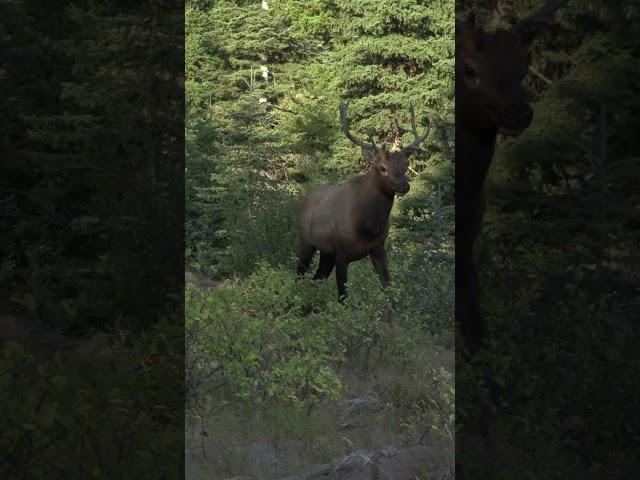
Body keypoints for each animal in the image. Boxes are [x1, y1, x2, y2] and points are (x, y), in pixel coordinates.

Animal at [296, 103, 430, 302]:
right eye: (382, 168)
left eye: (405, 167)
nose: (404, 185)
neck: (367, 225)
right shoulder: (341, 253)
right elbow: (343, 297)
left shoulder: (378, 249)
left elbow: (388, 287)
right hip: (305, 241)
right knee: (298, 273)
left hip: (326, 253)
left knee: (316, 278)